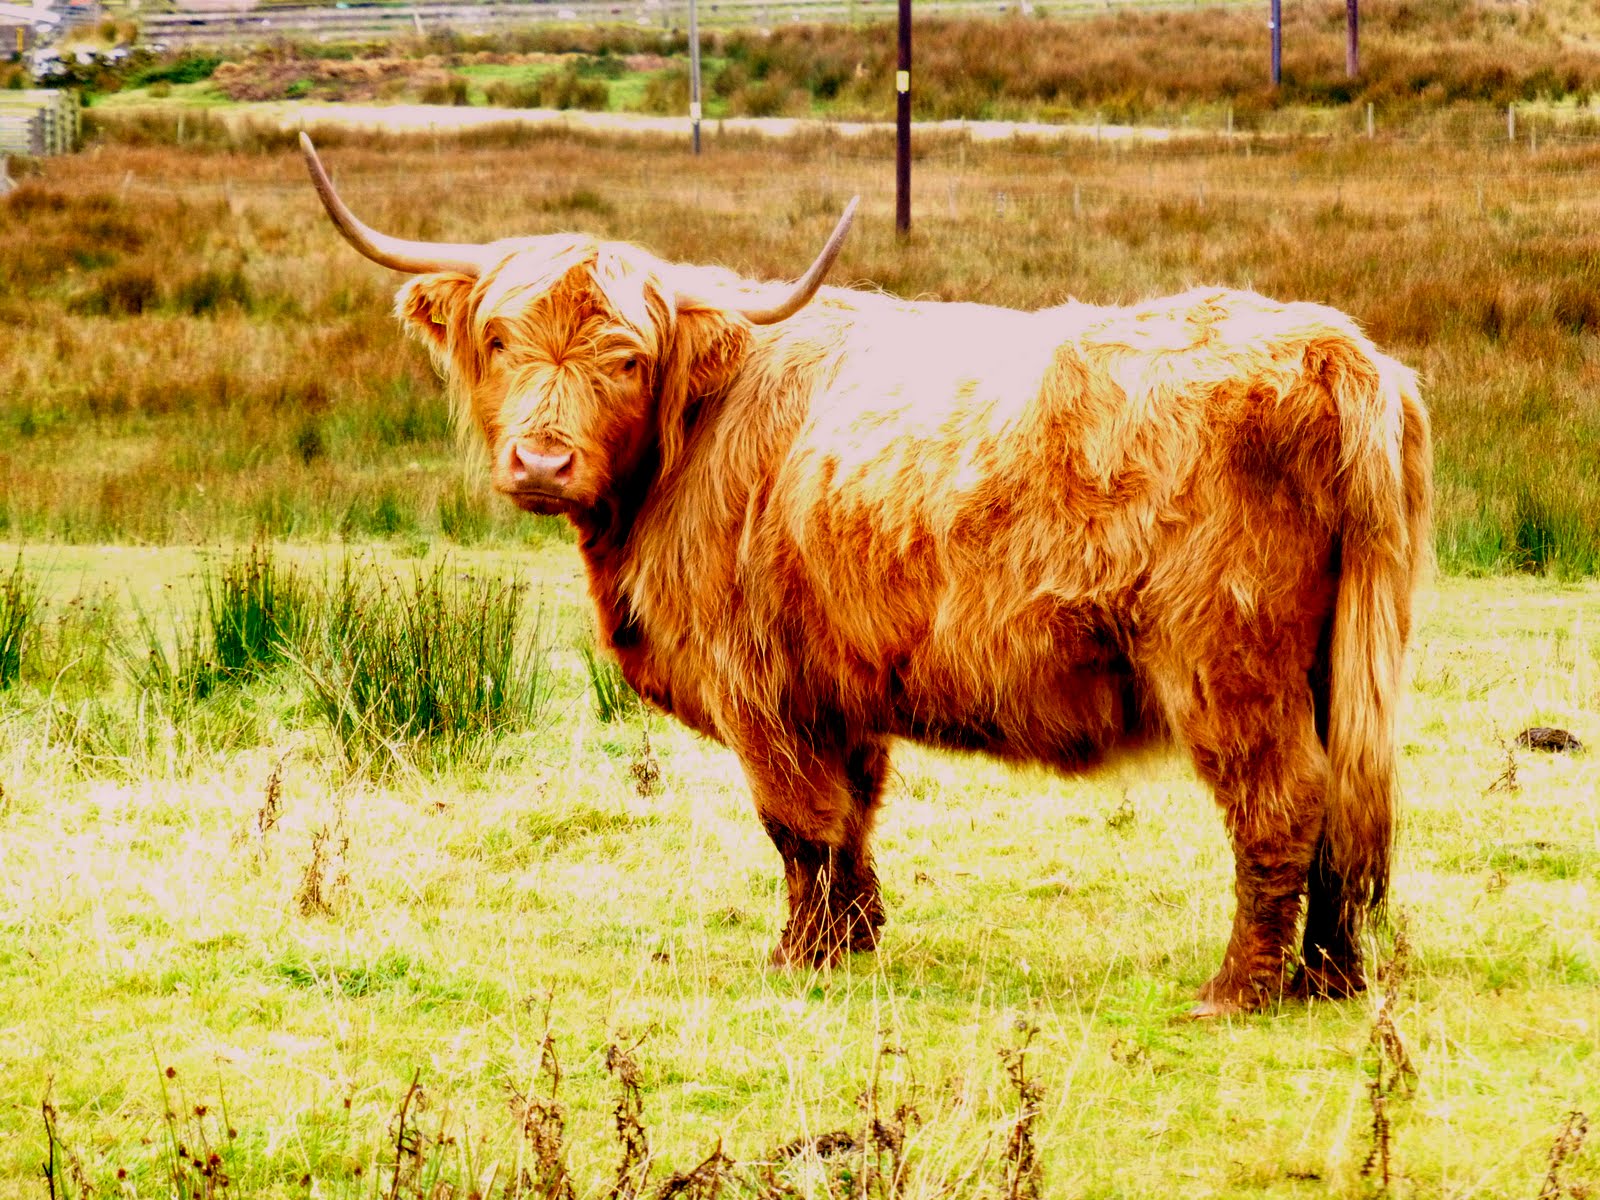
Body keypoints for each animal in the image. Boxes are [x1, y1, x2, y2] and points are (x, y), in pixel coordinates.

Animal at [300, 135, 1431, 1015]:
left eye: (625, 358)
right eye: (498, 340)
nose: (541, 462)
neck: (688, 439)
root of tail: (1334, 347)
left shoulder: (757, 681)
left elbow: (797, 823)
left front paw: (799, 957)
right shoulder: (841, 681)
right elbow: (853, 812)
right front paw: (856, 936)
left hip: (1224, 657)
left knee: (1281, 802)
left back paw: (1235, 991)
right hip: (1338, 662)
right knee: (1346, 804)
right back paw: (1328, 978)